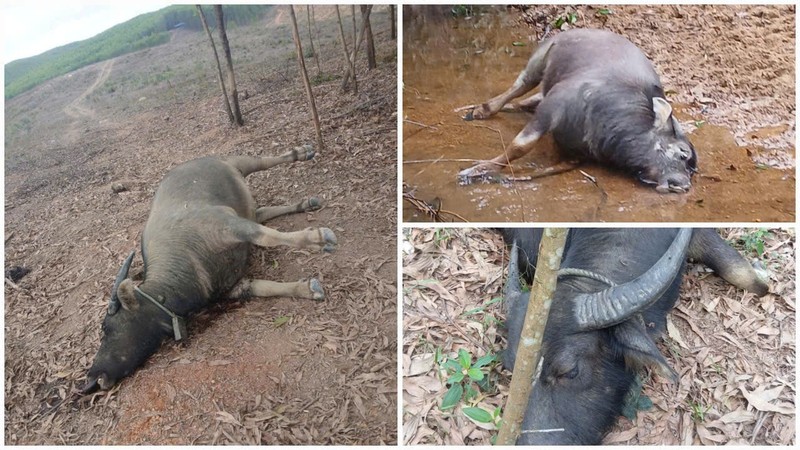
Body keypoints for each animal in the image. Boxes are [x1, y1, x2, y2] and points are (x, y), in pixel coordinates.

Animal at [86, 146, 336, 392]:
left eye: (106, 327)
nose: (90, 379)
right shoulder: (232, 286)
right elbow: (264, 287)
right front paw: (308, 288)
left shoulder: (228, 224)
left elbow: (267, 236)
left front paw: (318, 238)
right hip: (247, 204)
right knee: (263, 211)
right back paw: (307, 203)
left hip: (238, 163)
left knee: (265, 162)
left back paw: (303, 153)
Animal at [460, 29, 696, 192]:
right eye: (682, 153)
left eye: (693, 170)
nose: (682, 186)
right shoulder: (552, 106)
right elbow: (521, 145)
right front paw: (476, 170)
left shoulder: (577, 154)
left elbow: (552, 168)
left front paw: (509, 176)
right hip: (539, 60)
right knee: (520, 85)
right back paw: (480, 110)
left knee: (529, 98)